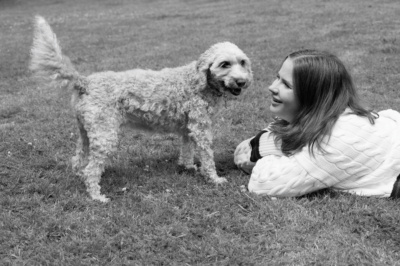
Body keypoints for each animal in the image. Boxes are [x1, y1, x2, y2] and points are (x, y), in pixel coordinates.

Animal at [29, 15, 252, 202]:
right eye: (224, 64)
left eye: (242, 62)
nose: (242, 82)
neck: (198, 82)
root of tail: (85, 82)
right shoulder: (201, 129)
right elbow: (207, 156)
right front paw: (214, 179)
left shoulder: (188, 127)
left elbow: (187, 150)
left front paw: (188, 166)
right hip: (105, 135)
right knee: (91, 169)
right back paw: (97, 196)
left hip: (86, 132)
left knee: (78, 160)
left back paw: (81, 177)